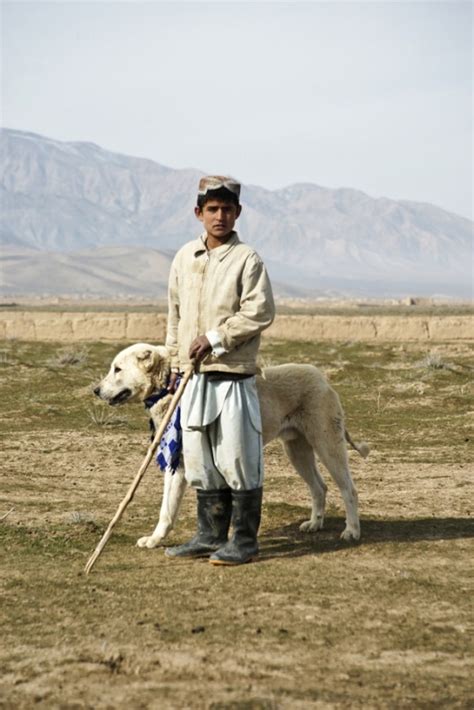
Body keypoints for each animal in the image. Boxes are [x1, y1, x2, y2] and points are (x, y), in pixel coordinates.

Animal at [94, 344, 368, 552]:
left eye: (117, 369)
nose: (96, 390)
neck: (170, 388)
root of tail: (323, 379)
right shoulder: (179, 465)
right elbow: (169, 509)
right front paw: (156, 539)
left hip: (327, 444)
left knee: (349, 489)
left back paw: (352, 531)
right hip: (296, 450)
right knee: (319, 487)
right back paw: (314, 524)